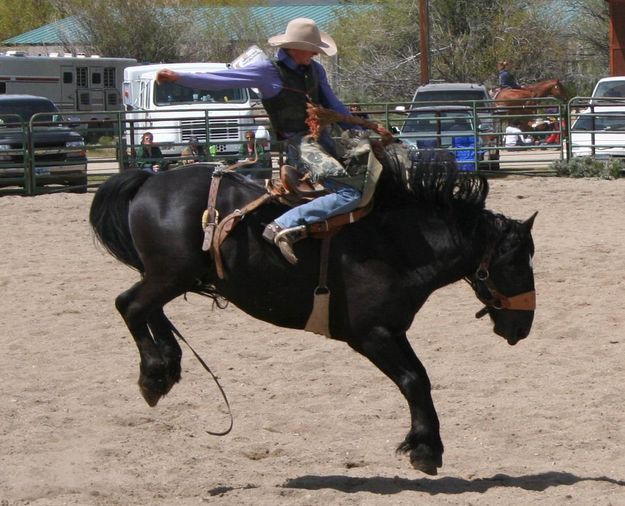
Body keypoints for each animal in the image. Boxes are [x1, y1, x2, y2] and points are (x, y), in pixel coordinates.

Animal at [89, 150, 536, 474]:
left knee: (148, 308)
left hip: (172, 275)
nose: (524, 326)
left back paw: (167, 366)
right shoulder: (372, 334)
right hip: (171, 274)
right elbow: (414, 380)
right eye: (516, 264)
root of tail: (151, 179)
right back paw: (153, 375)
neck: (396, 242)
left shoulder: (393, 330)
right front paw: (426, 450)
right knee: (129, 304)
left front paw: (425, 445)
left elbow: (420, 378)